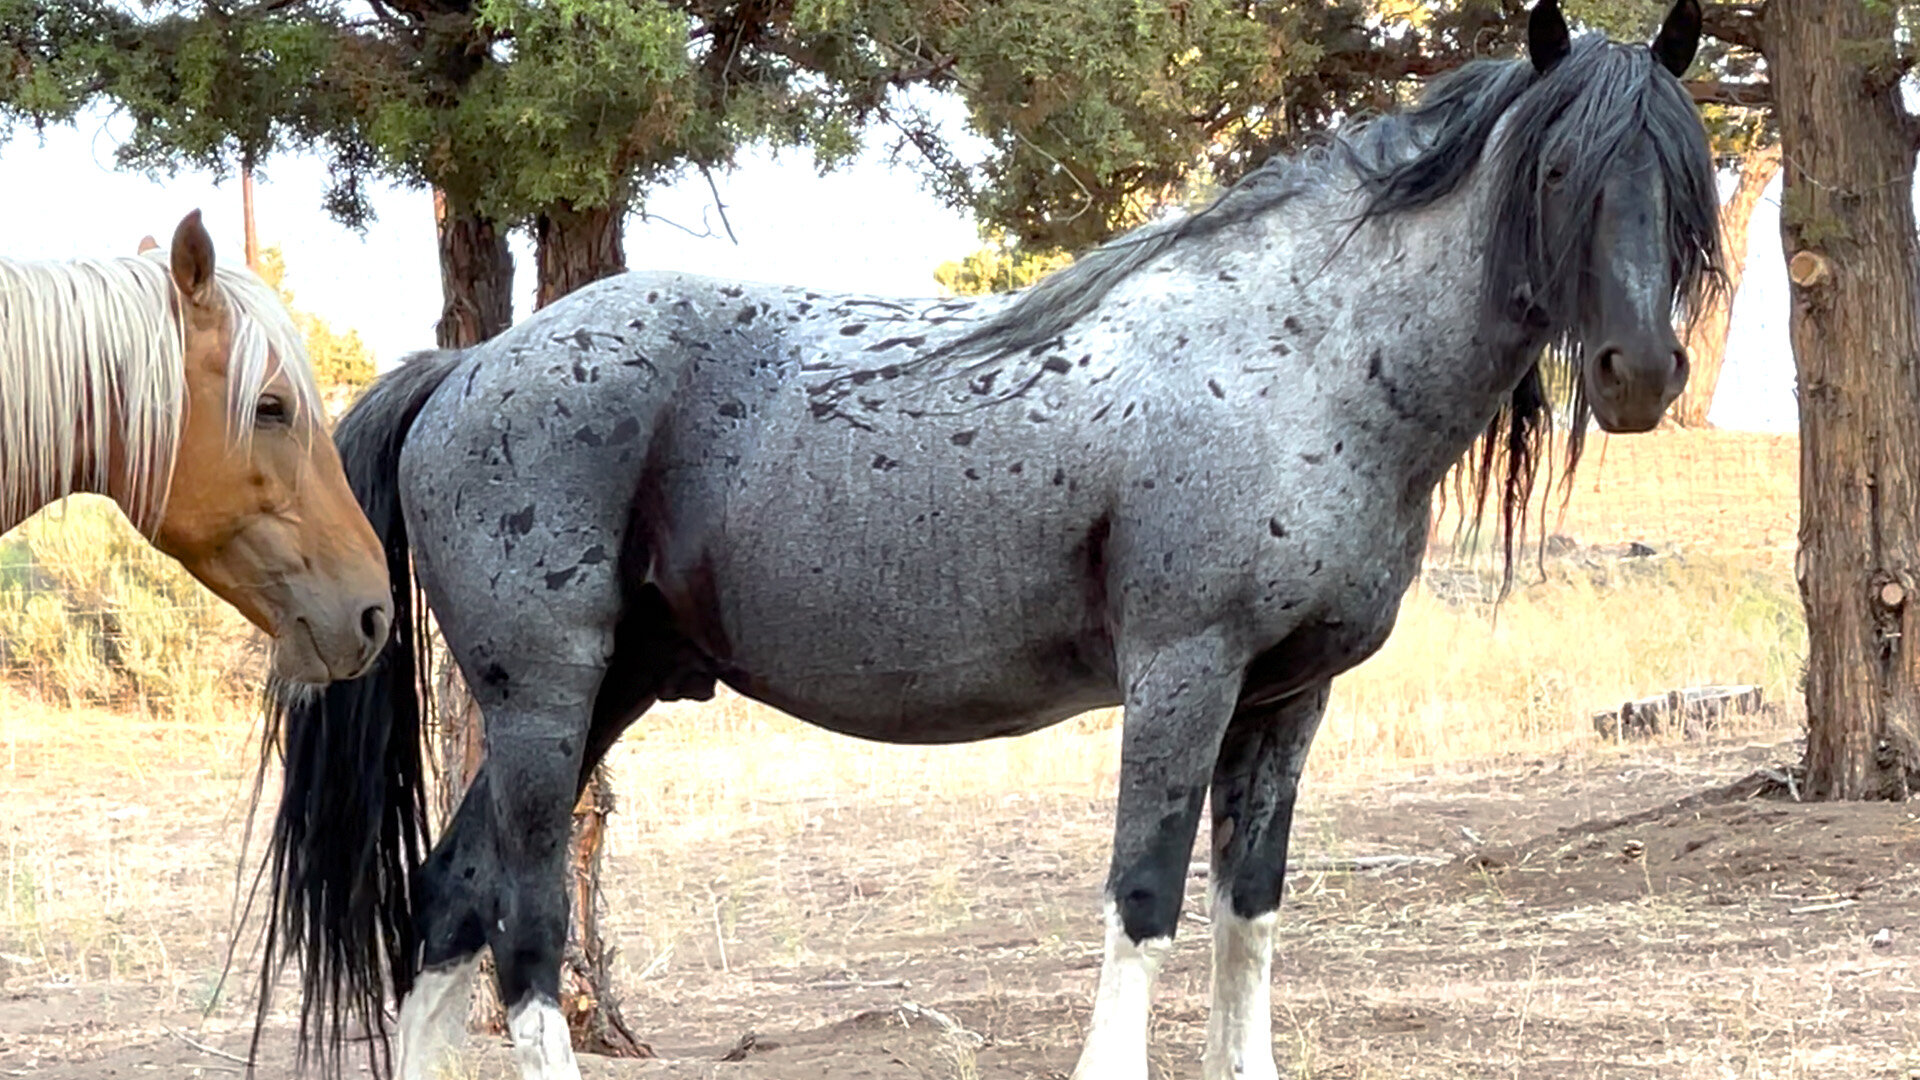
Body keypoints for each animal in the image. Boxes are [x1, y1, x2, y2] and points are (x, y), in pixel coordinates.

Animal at [261, 2, 1719, 1076]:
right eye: (1557, 171)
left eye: (1681, 174)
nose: (1642, 373)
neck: (1300, 363)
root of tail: (468, 367)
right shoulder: (1184, 676)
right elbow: (1146, 898)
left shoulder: (1285, 700)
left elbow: (1247, 915)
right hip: (545, 701)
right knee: (522, 933)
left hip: (601, 692)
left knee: (446, 910)